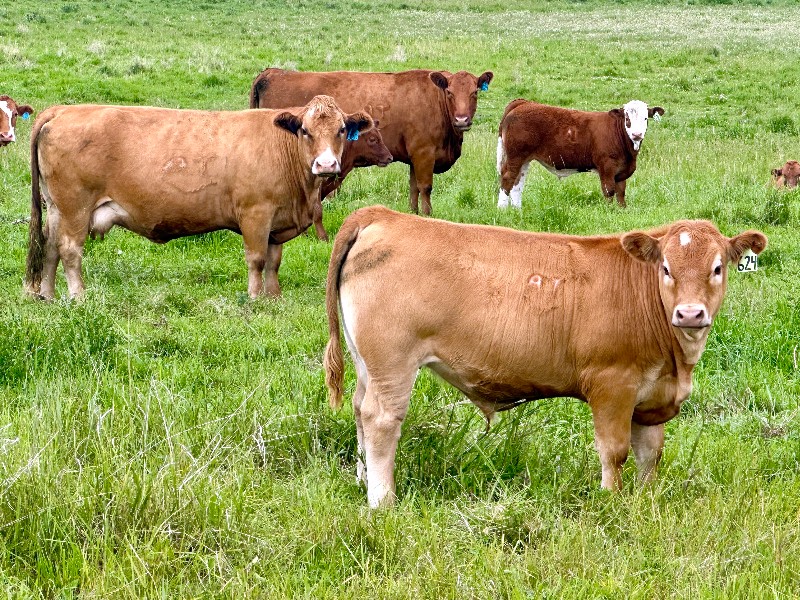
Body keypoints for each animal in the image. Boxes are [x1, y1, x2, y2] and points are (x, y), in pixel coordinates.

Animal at [24, 95, 373, 300]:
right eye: (305, 131)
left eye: (342, 130)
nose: (326, 165)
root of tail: (64, 110)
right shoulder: (255, 214)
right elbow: (257, 259)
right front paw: (255, 299)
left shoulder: (277, 221)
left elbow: (274, 261)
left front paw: (274, 297)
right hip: (75, 207)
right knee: (69, 250)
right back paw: (79, 297)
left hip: (57, 208)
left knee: (50, 248)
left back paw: (48, 296)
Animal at [250, 67, 493, 216]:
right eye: (450, 92)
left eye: (474, 93)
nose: (462, 120)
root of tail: (271, 73)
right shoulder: (424, 153)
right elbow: (425, 187)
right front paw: (428, 215)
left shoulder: (414, 158)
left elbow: (413, 188)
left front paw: (414, 214)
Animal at [323, 206, 766, 507]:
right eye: (667, 268)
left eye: (717, 268)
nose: (690, 313)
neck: (677, 361)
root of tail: (383, 215)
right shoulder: (612, 385)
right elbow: (615, 451)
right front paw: (610, 500)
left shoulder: (652, 397)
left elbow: (650, 454)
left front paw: (645, 499)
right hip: (392, 363)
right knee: (381, 419)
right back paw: (383, 500)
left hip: (367, 364)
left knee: (360, 409)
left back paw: (363, 481)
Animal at [497, 99, 665, 208]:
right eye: (627, 118)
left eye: (645, 118)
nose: (637, 134)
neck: (629, 154)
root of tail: (523, 103)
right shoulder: (607, 166)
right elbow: (609, 190)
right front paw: (609, 211)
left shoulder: (621, 170)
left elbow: (621, 192)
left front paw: (621, 210)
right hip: (515, 155)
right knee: (507, 178)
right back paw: (502, 209)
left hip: (524, 159)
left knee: (518, 183)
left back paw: (517, 210)